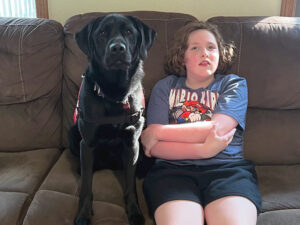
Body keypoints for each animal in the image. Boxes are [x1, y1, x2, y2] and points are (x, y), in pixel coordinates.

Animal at [69, 13, 156, 225]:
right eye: (101, 34)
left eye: (129, 32)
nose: (117, 48)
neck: (114, 93)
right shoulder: (87, 143)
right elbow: (86, 185)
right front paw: (83, 214)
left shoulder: (132, 143)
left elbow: (131, 185)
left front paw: (135, 212)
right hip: (72, 134)